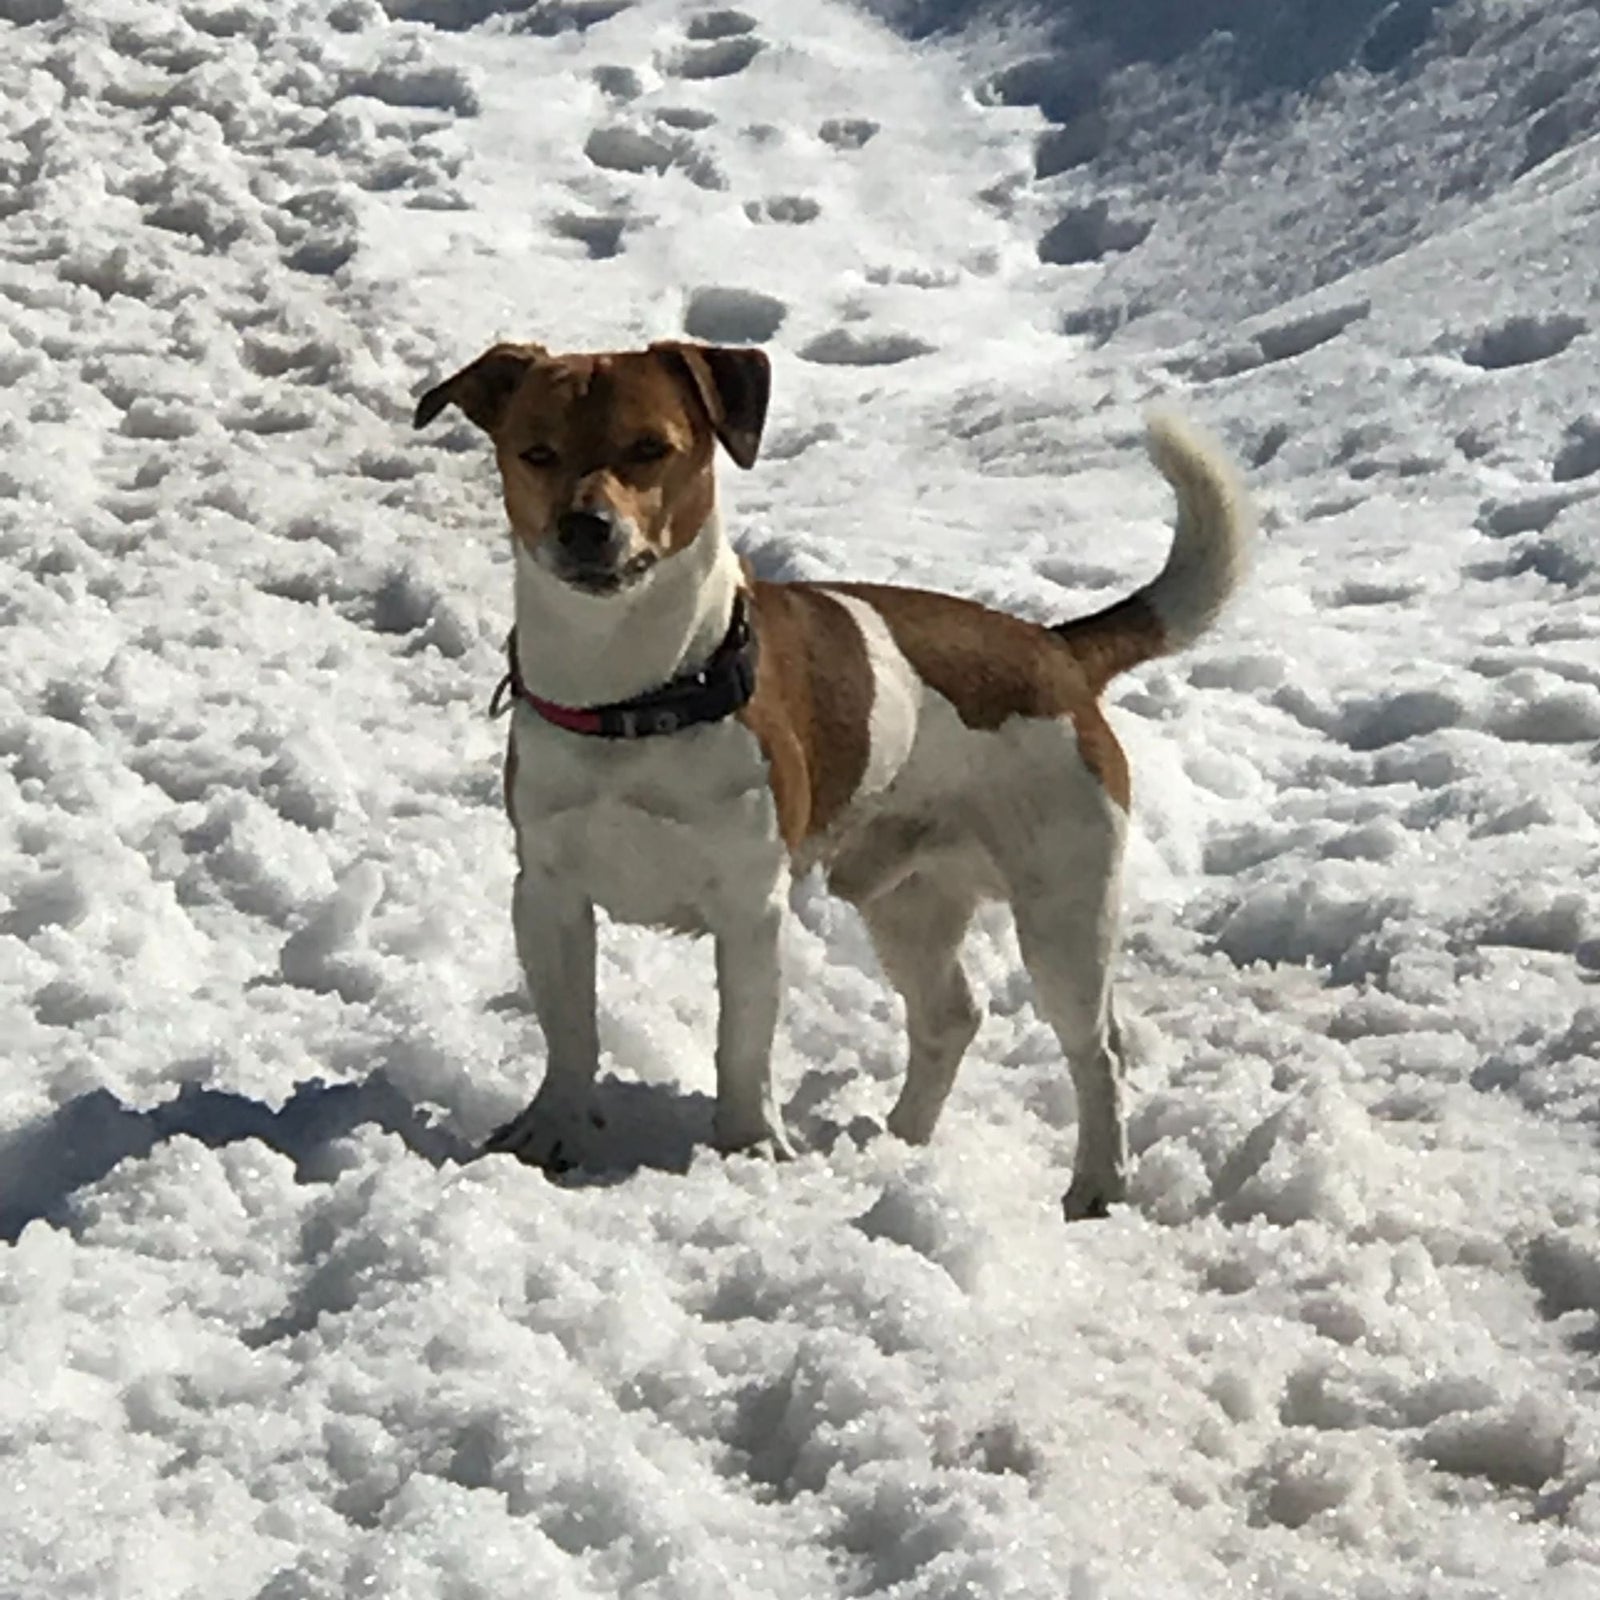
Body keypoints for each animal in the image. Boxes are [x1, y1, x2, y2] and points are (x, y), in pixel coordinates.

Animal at [412, 334, 1248, 1209]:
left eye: (650, 448)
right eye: (535, 452)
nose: (586, 526)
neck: (634, 695)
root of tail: (1054, 648)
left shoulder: (750, 905)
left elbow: (742, 1042)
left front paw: (747, 1148)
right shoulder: (548, 893)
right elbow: (571, 1029)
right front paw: (554, 1131)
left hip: (1065, 907)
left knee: (1097, 1049)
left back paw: (1097, 1183)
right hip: (906, 901)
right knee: (950, 1017)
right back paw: (899, 1142)